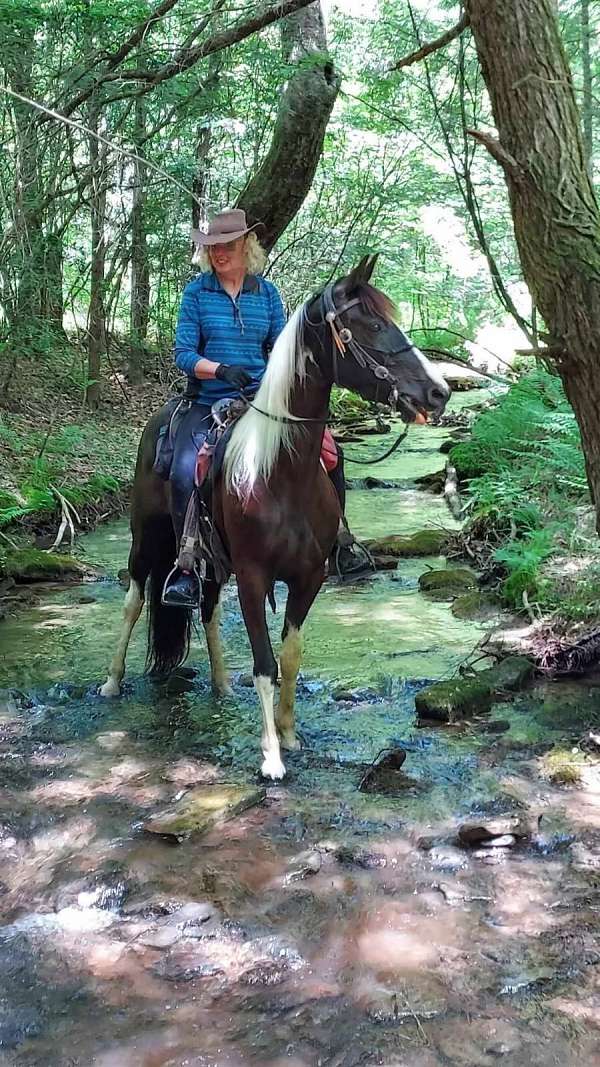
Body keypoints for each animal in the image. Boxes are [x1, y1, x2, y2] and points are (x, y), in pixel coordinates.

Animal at [100, 253, 448, 781]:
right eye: (371, 324)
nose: (438, 393)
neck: (280, 473)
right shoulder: (253, 576)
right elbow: (265, 662)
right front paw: (270, 757)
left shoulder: (309, 576)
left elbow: (291, 655)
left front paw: (289, 734)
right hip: (147, 539)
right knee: (134, 601)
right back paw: (112, 683)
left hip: (210, 559)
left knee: (208, 609)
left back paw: (222, 685)